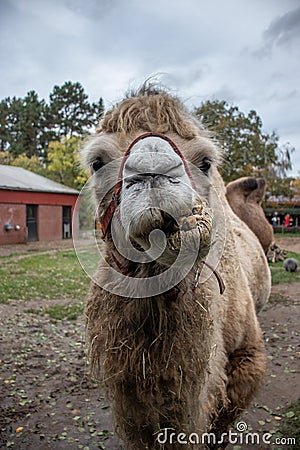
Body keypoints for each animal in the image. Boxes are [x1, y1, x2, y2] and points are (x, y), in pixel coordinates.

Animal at [82, 86, 272, 448]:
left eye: (205, 162)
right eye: (97, 162)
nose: (154, 171)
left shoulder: (246, 361)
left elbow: (219, 425)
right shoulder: (130, 393)